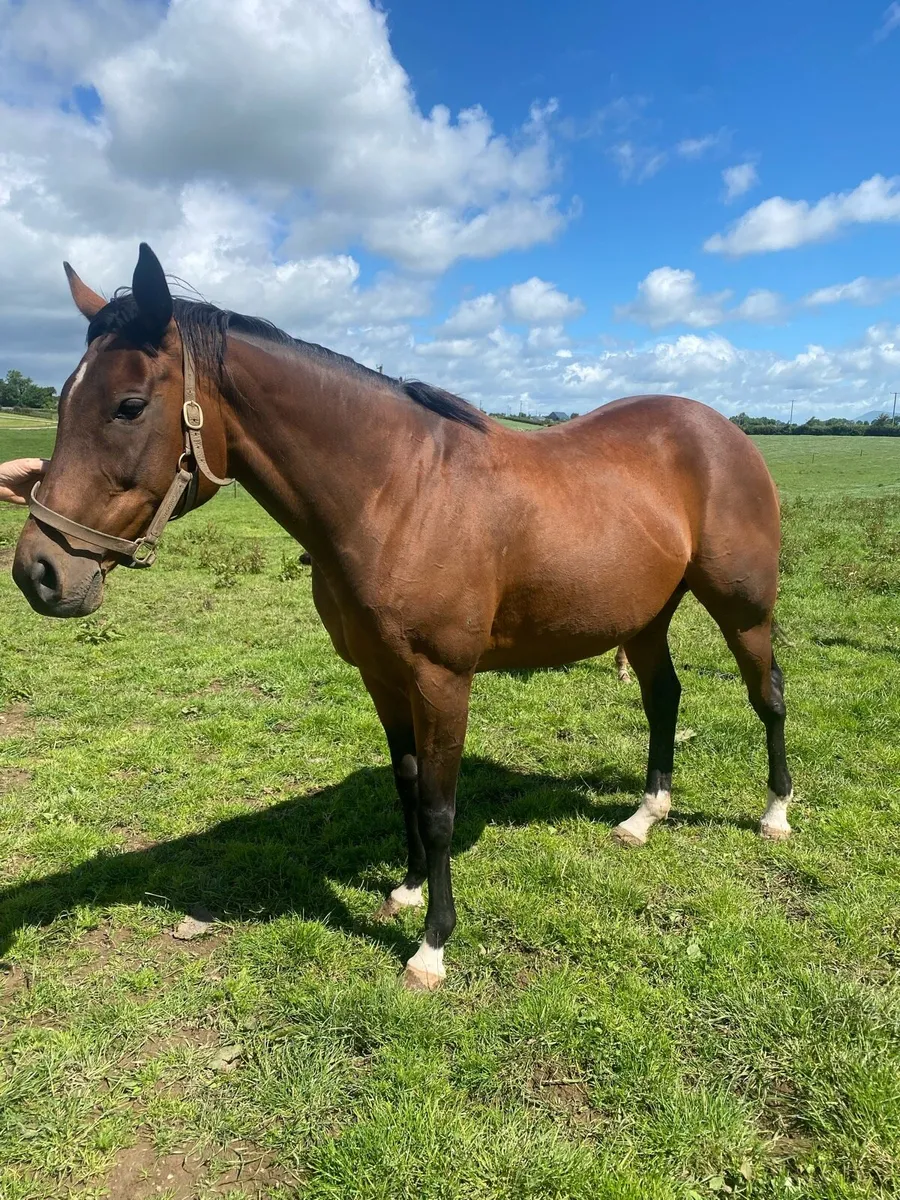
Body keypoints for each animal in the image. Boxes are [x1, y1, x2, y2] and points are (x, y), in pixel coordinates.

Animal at [12, 244, 793, 990]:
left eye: (129, 405)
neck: (397, 493)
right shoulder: (383, 676)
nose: (39, 572)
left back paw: (775, 814)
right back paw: (643, 817)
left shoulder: (443, 681)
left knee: (769, 696)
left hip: (743, 610)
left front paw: (432, 947)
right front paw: (409, 890)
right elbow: (408, 784)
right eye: (64, 399)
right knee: (665, 698)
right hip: (648, 617)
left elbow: (442, 810)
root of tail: (725, 432)